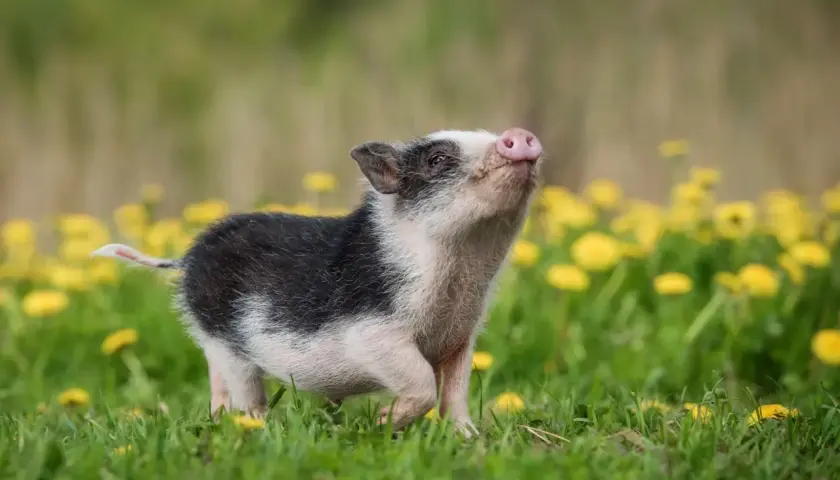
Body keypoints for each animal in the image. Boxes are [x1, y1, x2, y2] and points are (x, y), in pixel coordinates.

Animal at [91, 127, 544, 438]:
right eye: (436, 159)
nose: (518, 135)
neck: (463, 270)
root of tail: (188, 257)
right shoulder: (372, 332)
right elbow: (421, 381)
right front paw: (383, 423)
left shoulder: (461, 337)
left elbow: (455, 392)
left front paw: (470, 439)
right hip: (223, 337)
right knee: (244, 390)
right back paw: (256, 429)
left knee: (218, 384)